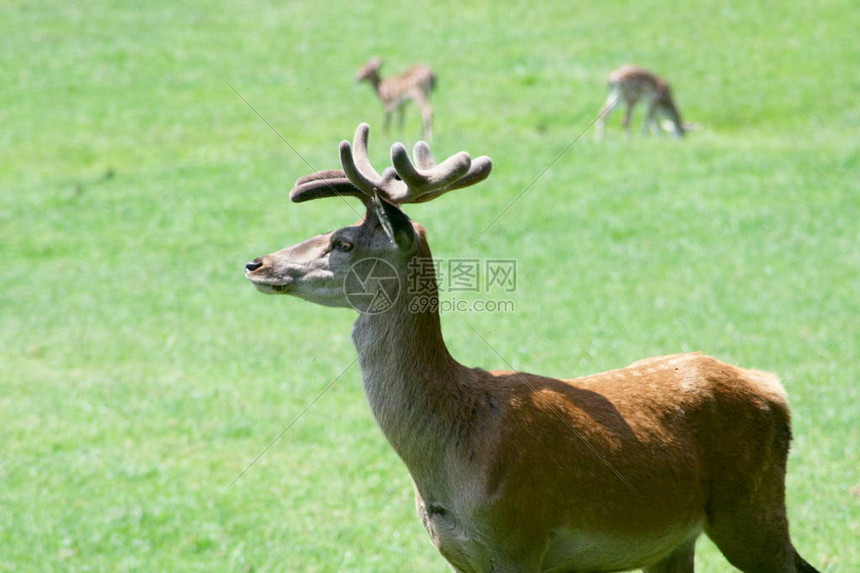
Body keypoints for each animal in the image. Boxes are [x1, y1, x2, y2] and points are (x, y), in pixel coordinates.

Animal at [244, 125, 820, 572]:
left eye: (343, 242)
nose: (256, 262)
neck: (450, 453)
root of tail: (775, 390)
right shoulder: (462, 555)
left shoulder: (520, 536)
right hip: (676, 538)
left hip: (750, 508)